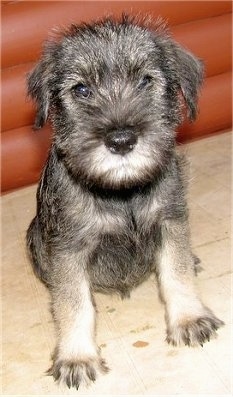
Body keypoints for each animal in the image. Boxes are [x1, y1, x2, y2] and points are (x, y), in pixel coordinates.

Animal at [26, 16, 224, 390]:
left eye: (146, 80)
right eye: (81, 90)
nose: (121, 140)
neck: (122, 191)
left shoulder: (170, 221)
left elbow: (175, 271)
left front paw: (189, 319)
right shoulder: (69, 248)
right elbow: (73, 303)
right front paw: (77, 357)